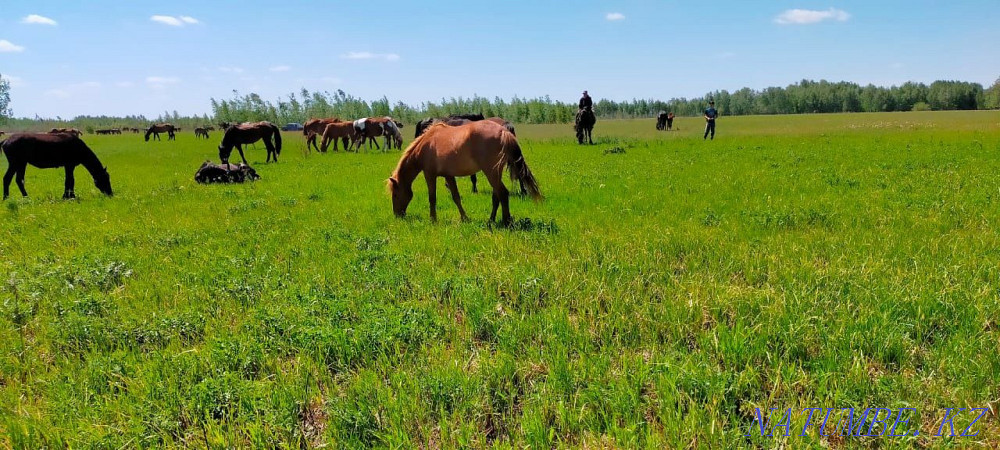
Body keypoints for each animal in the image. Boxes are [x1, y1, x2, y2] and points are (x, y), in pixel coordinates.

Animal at [387, 120, 540, 225]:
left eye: (395, 195)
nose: (397, 215)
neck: (425, 145)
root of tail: (504, 131)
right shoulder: (448, 175)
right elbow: (456, 197)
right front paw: (464, 218)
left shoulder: (429, 174)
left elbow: (432, 198)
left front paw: (433, 219)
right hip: (495, 173)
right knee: (496, 195)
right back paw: (491, 220)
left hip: (491, 172)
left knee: (503, 193)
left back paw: (506, 221)